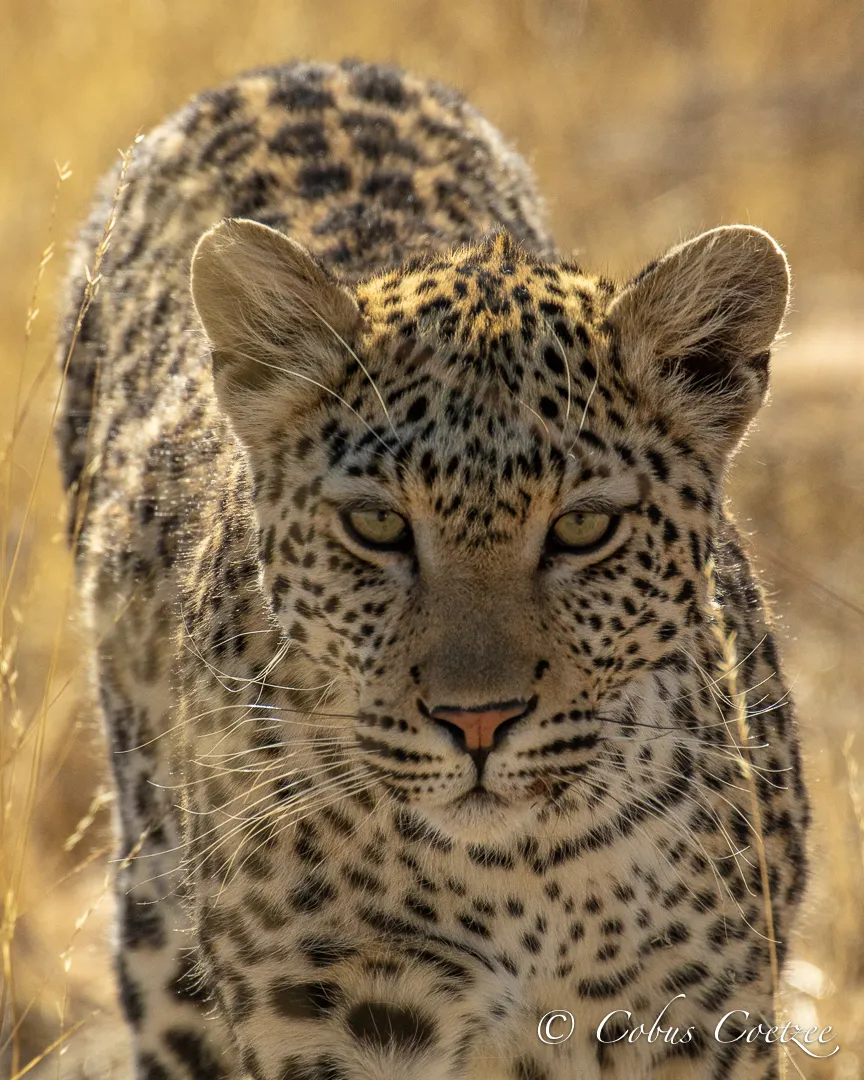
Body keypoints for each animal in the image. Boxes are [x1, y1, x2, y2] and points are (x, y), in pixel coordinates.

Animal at [56, 58, 810, 1080]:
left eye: (583, 529)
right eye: (376, 525)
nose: (477, 722)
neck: (527, 880)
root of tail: (301, 67)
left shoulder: (700, 1020)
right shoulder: (329, 1028)